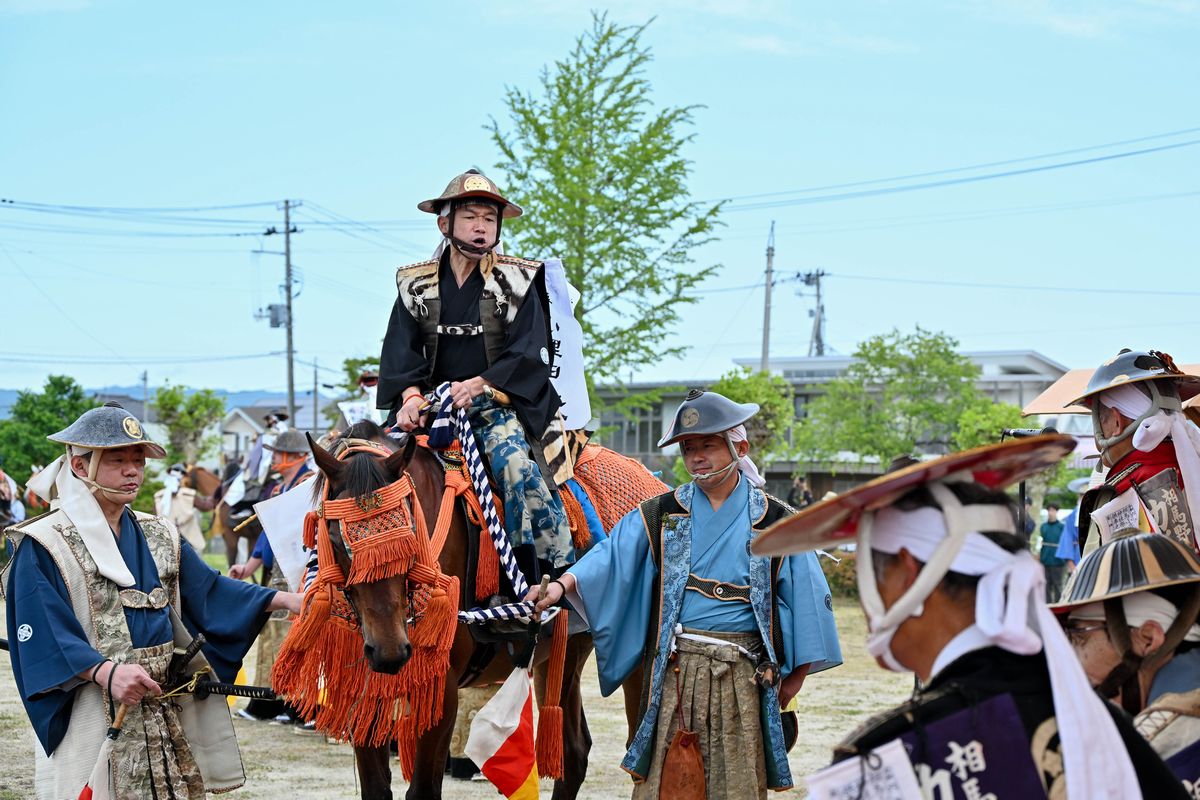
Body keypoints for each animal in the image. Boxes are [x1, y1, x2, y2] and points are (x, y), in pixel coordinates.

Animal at [300, 422, 600, 796]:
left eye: (412, 532)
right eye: (336, 540)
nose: (389, 651)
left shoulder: (441, 692)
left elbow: (424, 789)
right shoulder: (363, 689)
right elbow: (376, 788)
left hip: (573, 650)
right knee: (575, 750)